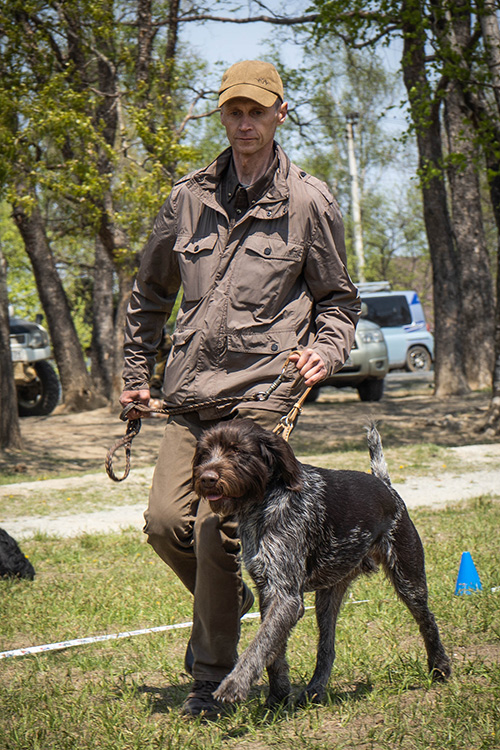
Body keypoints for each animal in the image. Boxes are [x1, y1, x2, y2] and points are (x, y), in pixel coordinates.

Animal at [193, 420, 452, 708]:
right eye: (205, 452)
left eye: (237, 450)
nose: (207, 478)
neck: (264, 502)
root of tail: (384, 484)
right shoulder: (269, 590)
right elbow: (273, 650)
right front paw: (277, 696)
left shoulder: (286, 597)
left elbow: (260, 643)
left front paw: (235, 684)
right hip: (327, 598)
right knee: (327, 648)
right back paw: (315, 689)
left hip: (408, 578)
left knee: (427, 621)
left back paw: (440, 667)